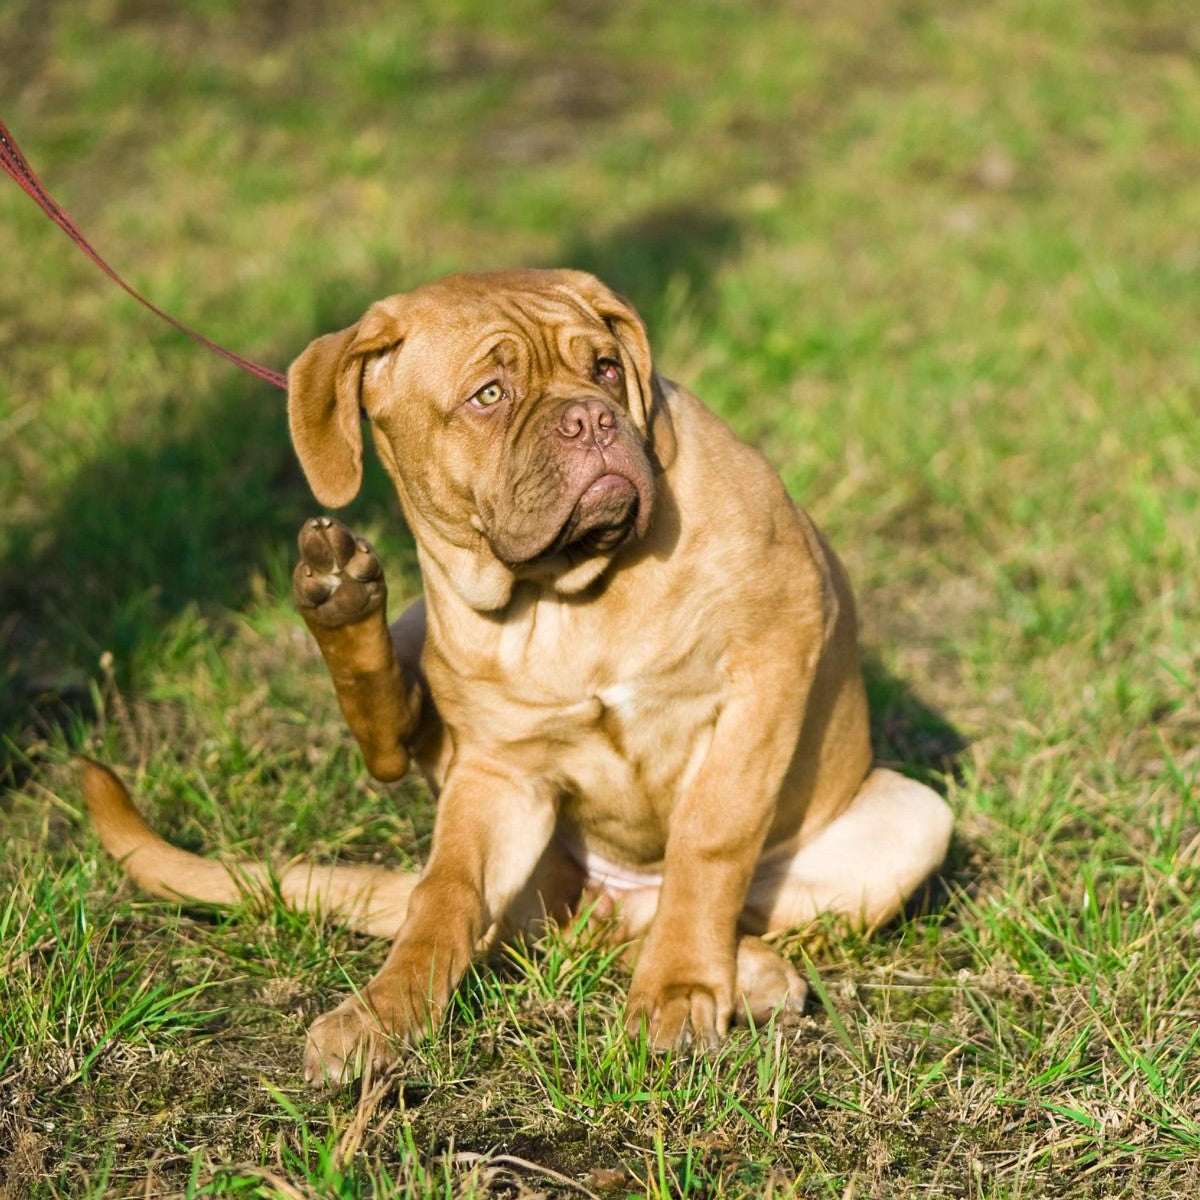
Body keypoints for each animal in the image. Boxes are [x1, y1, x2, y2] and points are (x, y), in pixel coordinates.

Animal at [79, 270, 950, 1089]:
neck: (564, 591)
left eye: (605, 368)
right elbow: (446, 896)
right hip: (431, 651)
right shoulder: (499, 772)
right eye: (489, 395)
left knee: (643, 914)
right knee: (415, 774)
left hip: (918, 817)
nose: (592, 419)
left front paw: (679, 988)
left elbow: (712, 836)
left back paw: (744, 968)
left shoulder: (774, 653)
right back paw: (338, 596)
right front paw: (382, 1015)